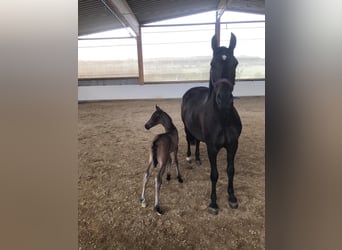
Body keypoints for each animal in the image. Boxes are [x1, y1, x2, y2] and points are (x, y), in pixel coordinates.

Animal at [186, 33, 239, 166]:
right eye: (212, 64)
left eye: (235, 63)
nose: (224, 99)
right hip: (186, 126)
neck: (223, 118)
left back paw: (197, 158)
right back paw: (189, 157)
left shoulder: (233, 147)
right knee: (188, 138)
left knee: (197, 140)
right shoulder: (212, 149)